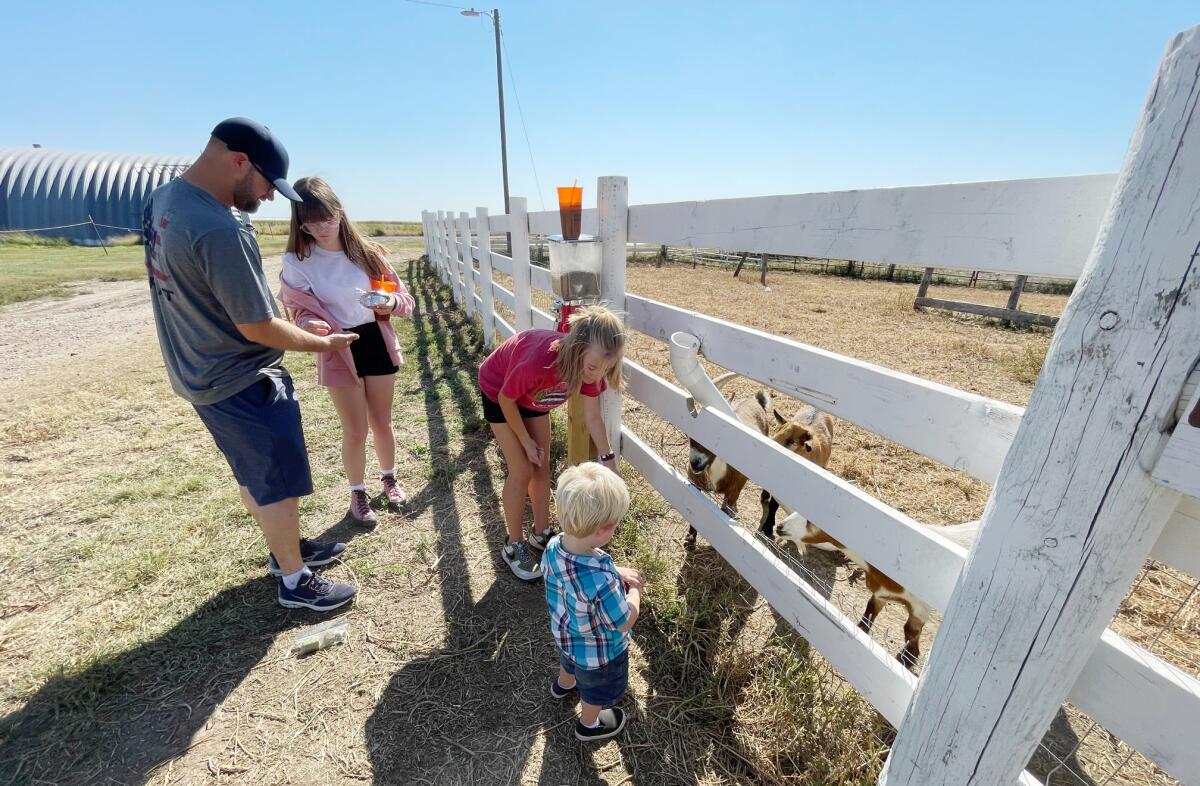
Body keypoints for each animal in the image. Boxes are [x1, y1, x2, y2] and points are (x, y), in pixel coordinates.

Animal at [686, 369, 768, 544]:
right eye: (691, 432)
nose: (694, 463)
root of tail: (756, 400)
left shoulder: (732, 492)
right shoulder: (694, 484)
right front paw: (690, 538)